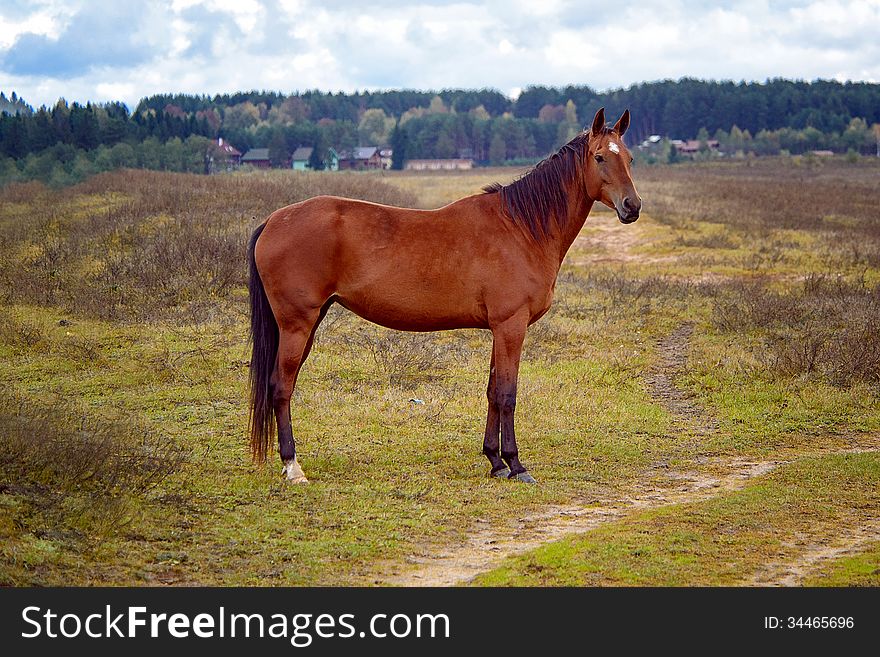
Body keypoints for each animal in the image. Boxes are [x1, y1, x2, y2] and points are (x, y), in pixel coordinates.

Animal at [248, 107, 640, 484]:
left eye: (630, 158)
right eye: (600, 157)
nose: (632, 206)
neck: (520, 228)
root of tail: (273, 221)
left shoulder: (499, 330)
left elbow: (492, 392)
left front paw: (495, 461)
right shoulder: (511, 327)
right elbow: (507, 394)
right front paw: (516, 465)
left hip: (308, 324)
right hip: (297, 324)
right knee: (281, 387)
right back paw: (293, 467)